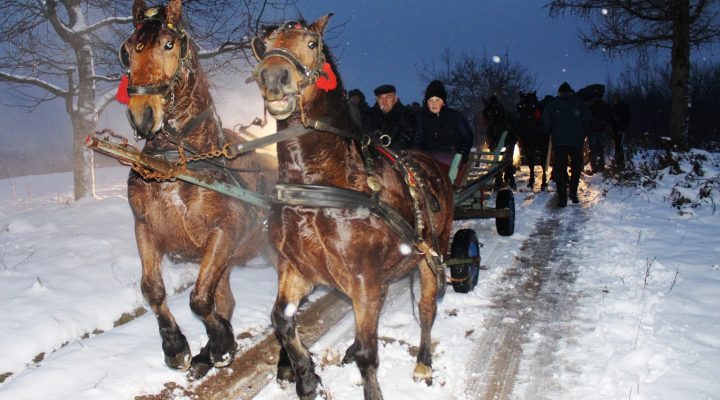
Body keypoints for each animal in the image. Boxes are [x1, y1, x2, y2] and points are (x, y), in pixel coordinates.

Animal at [119, 0, 278, 380]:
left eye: (169, 44)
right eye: (127, 50)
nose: (143, 115)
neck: (176, 162)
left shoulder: (223, 230)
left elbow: (200, 298)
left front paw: (221, 343)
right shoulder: (145, 226)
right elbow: (154, 289)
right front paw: (178, 347)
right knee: (227, 299)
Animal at [250, 14, 452, 398]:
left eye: (312, 44)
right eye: (264, 45)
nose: (273, 78)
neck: (316, 186)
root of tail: (431, 164)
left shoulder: (362, 278)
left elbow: (369, 355)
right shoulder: (295, 268)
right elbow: (281, 320)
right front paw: (306, 379)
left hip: (431, 256)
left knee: (427, 308)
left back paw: (423, 363)